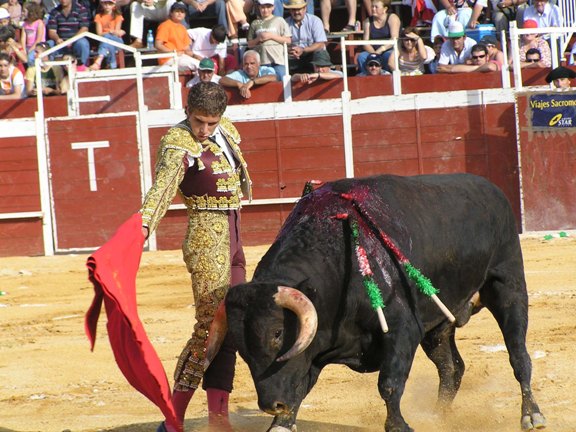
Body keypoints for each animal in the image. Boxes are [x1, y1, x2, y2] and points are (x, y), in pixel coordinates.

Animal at [206, 173, 546, 432]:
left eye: (277, 333)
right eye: (240, 346)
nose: (270, 405)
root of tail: (490, 188)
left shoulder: (402, 329)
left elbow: (389, 383)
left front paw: (398, 426)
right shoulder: (314, 351)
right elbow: (299, 386)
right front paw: (280, 424)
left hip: (508, 286)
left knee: (518, 356)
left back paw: (532, 415)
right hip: (438, 325)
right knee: (452, 368)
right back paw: (438, 417)